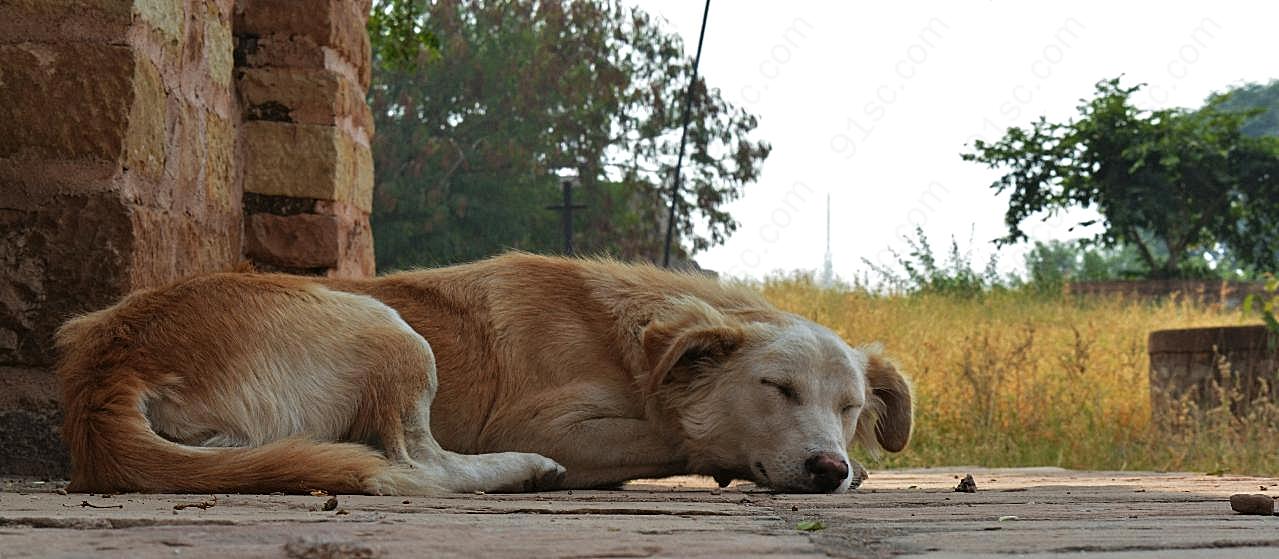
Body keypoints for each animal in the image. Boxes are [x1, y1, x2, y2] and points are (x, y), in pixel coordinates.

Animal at [60, 253, 910, 491]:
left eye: (850, 406)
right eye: (776, 388)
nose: (829, 468)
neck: (627, 345)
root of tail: (112, 360)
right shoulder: (547, 417)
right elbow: (677, 439)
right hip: (390, 330)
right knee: (413, 466)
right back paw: (521, 471)